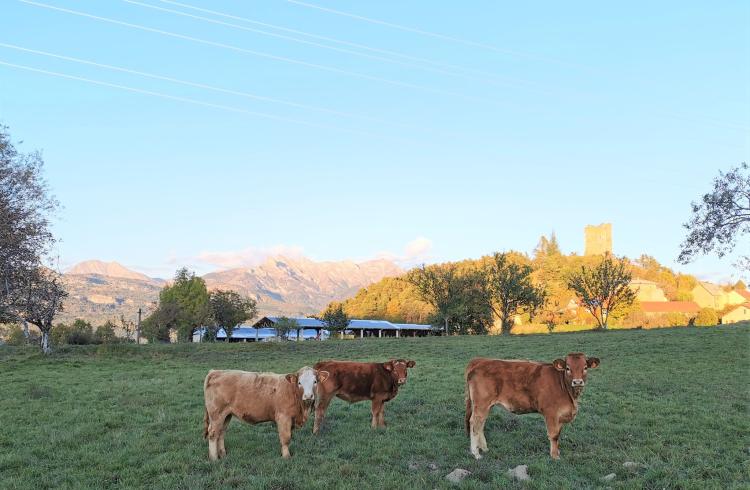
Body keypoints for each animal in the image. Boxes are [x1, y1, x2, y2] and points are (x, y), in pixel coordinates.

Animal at [468, 352, 604, 460]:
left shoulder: (560, 415)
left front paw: (557, 451)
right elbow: (554, 435)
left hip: (486, 406)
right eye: (568, 368)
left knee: (481, 424)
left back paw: (484, 448)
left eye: (585, 367)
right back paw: (476, 453)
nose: (577, 382)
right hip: (481, 404)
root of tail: (480, 361)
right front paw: (555, 456)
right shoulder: (551, 413)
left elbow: (558, 434)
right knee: (475, 424)